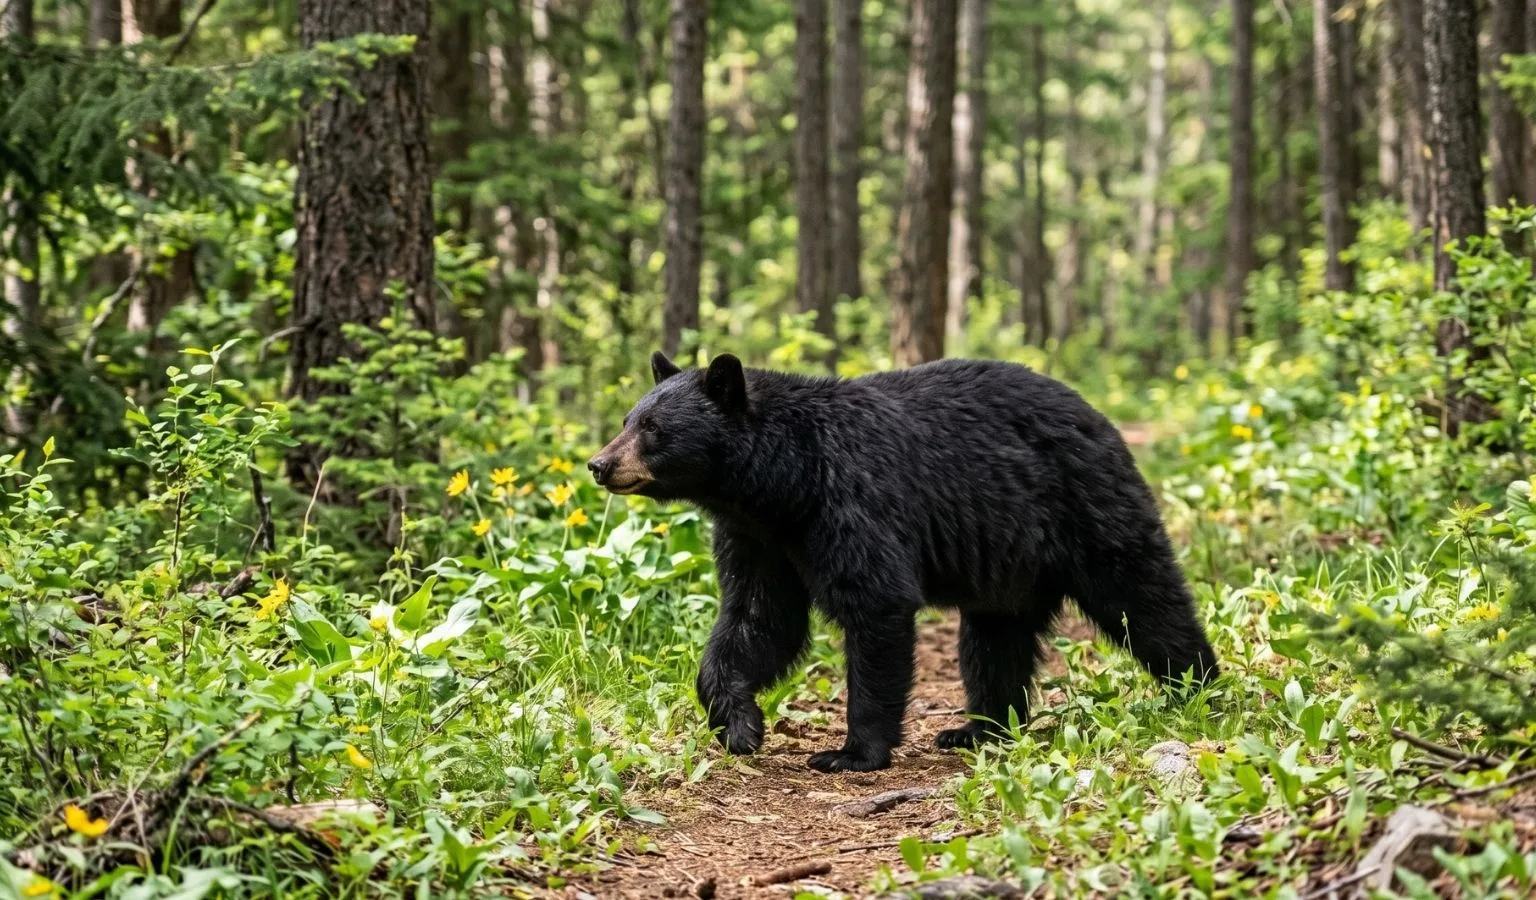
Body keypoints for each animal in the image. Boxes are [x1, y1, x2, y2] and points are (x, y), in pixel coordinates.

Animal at [587, 352, 1220, 773]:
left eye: (653, 429)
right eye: (626, 420)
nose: (599, 464)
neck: (783, 484)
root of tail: (1098, 416)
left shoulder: (850, 502)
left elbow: (876, 604)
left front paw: (850, 753)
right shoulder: (759, 538)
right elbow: (757, 620)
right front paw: (741, 726)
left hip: (1087, 509)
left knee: (1144, 599)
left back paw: (1200, 689)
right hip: (1009, 565)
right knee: (994, 642)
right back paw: (978, 730)